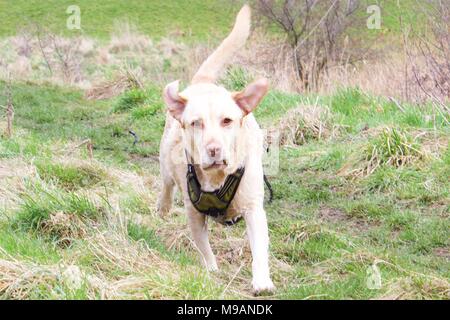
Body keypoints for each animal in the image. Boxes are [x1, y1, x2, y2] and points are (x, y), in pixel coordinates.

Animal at [157, 5, 274, 296]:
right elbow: (203, 248)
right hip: (165, 159)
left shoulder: (254, 209)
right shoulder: (193, 213)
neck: (217, 177)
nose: (213, 149)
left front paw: (262, 281)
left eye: (227, 121)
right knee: (166, 185)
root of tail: (203, 83)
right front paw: (211, 271)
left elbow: (259, 249)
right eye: (196, 123)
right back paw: (163, 207)